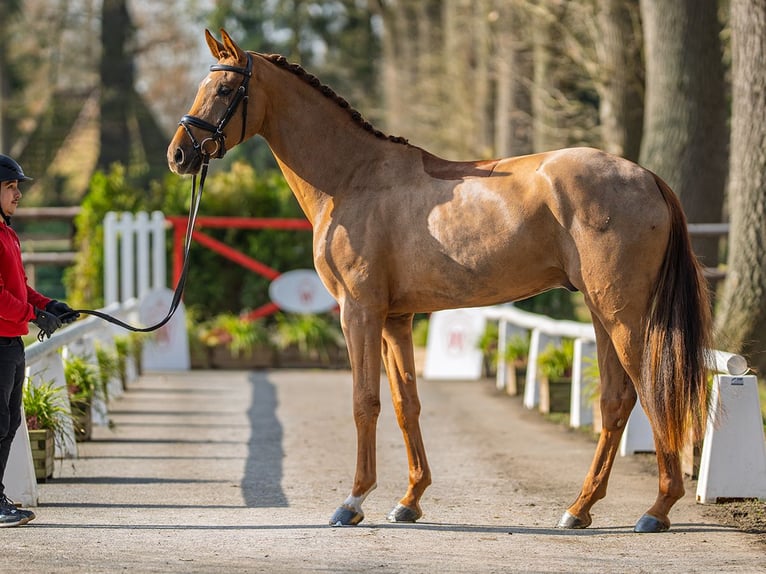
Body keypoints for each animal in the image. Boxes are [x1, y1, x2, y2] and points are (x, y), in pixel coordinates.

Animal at [167, 29, 713, 533]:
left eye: (223, 90)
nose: (179, 155)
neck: (351, 179)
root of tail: (646, 176)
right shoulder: (396, 319)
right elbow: (405, 403)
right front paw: (409, 500)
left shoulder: (358, 312)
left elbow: (364, 402)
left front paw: (353, 501)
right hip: (602, 313)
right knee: (616, 401)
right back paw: (579, 509)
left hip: (624, 316)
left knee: (651, 390)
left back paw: (656, 510)